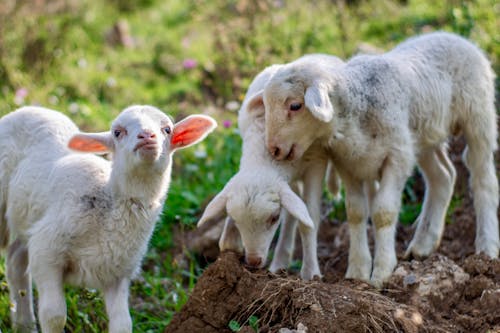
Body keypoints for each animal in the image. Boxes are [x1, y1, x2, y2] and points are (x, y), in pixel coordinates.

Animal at [0, 105, 216, 330]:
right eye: (117, 132)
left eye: (167, 129)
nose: (147, 136)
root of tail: (31, 108)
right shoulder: (46, 251)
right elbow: (54, 315)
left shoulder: (119, 271)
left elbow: (123, 323)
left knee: (15, 261)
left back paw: (23, 325)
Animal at [198, 53, 344, 278]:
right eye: (237, 221)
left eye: (274, 219)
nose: (253, 261)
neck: (264, 156)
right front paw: (230, 240)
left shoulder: (315, 164)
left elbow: (309, 220)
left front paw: (310, 272)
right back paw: (280, 261)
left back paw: (335, 190)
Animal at [260, 31, 498, 286]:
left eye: (295, 106)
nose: (273, 149)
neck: (358, 107)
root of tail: (456, 37)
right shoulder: (348, 163)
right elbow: (355, 212)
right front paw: (357, 270)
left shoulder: (396, 158)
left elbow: (384, 212)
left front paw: (382, 272)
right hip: (422, 136)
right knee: (442, 177)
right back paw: (423, 246)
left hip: (478, 116)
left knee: (484, 180)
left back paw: (487, 248)